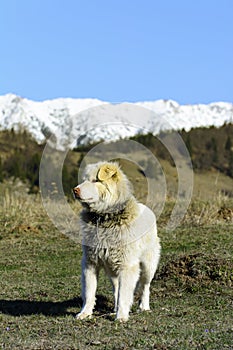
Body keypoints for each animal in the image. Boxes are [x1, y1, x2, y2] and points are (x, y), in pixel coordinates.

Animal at [73, 163, 160, 322]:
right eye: (84, 180)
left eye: (95, 181)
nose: (75, 190)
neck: (104, 218)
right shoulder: (90, 263)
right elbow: (89, 292)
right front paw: (85, 313)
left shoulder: (127, 265)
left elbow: (124, 295)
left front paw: (121, 317)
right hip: (112, 269)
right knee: (116, 288)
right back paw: (114, 309)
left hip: (148, 265)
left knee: (145, 286)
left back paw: (144, 307)